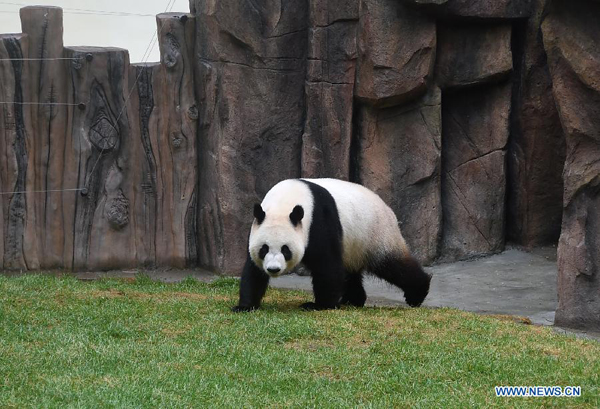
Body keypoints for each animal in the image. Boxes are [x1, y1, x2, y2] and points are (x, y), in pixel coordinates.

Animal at [231, 177, 432, 310]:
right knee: (350, 272)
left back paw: (417, 294)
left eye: (285, 249)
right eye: (264, 249)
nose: (273, 269)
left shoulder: (319, 220)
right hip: (354, 244)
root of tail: (388, 208)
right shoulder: (257, 226)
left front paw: (319, 305)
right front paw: (245, 306)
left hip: (375, 233)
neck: (285, 201)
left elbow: (326, 264)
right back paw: (353, 300)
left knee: (393, 265)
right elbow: (253, 270)